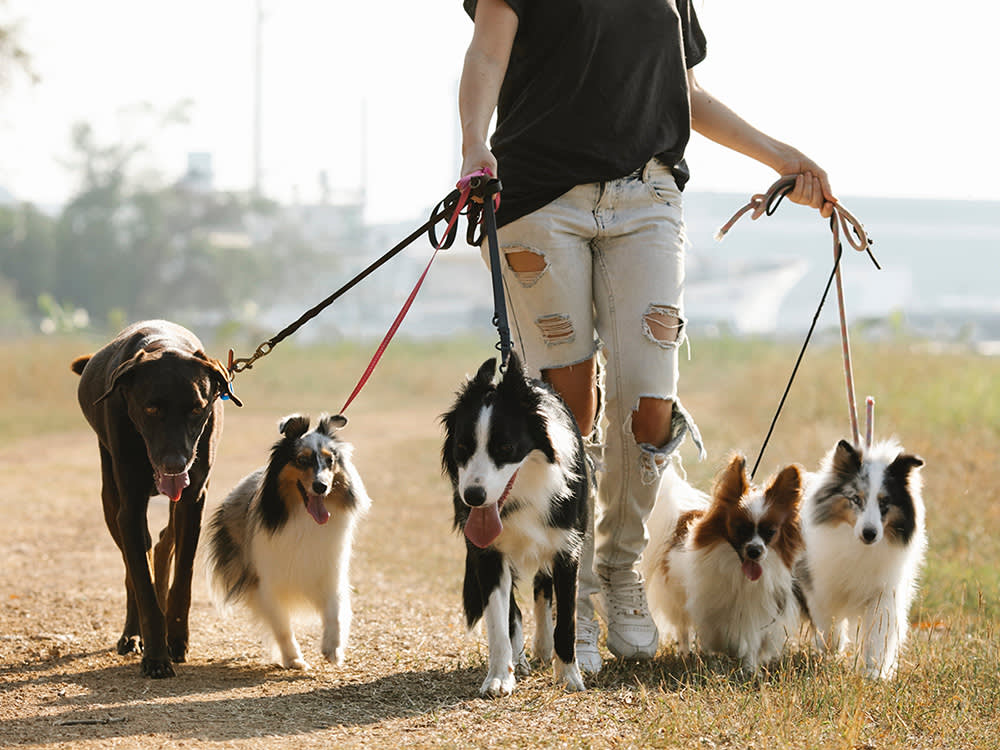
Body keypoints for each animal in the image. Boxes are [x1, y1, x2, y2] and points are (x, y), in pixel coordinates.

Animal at [71, 320, 238, 680]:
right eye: (151, 408)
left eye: (196, 407)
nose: (174, 463)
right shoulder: (130, 508)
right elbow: (142, 583)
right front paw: (156, 655)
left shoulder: (194, 496)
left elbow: (183, 575)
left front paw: (175, 638)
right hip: (110, 494)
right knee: (134, 563)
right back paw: (133, 634)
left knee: (162, 543)